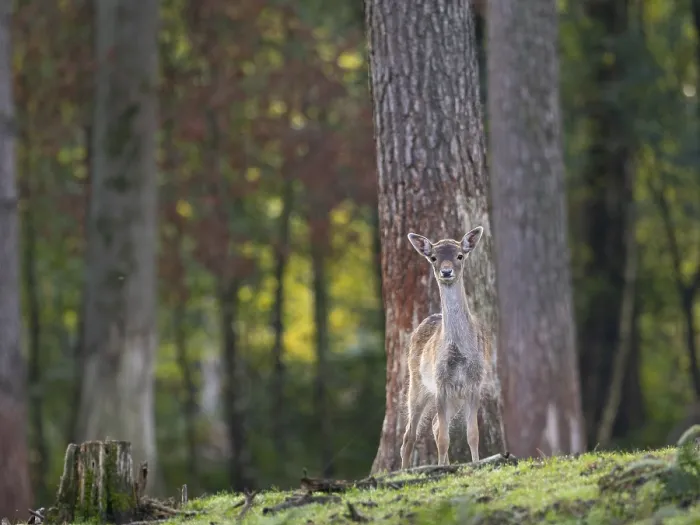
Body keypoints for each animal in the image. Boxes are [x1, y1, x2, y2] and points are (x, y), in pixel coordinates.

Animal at [400, 226, 489, 469]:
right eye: (433, 258)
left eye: (460, 255)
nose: (446, 272)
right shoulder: (441, 382)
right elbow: (443, 439)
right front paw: (441, 466)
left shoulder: (474, 383)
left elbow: (472, 433)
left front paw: (476, 463)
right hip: (417, 384)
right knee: (409, 435)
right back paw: (404, 470)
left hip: (453, 397)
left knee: (433, 425)